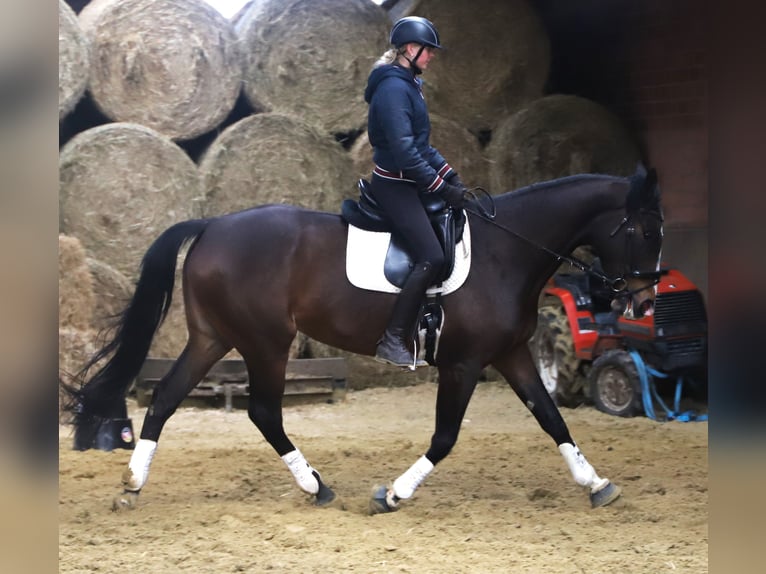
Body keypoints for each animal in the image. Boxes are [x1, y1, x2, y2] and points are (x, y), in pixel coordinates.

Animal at [62, 165, 663, 513]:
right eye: (642, 229)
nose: (645, 303)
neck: (507, 250)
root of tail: (212, 225)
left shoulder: (511, 355)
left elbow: (553, 419)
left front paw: (596, 484)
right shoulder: (464, 364)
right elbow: (445, 438)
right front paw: (393, 493)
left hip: (213, 337)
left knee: (166, 397)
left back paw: (133, 484)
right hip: (266, 341)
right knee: (262, 411)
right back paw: (315, 487)